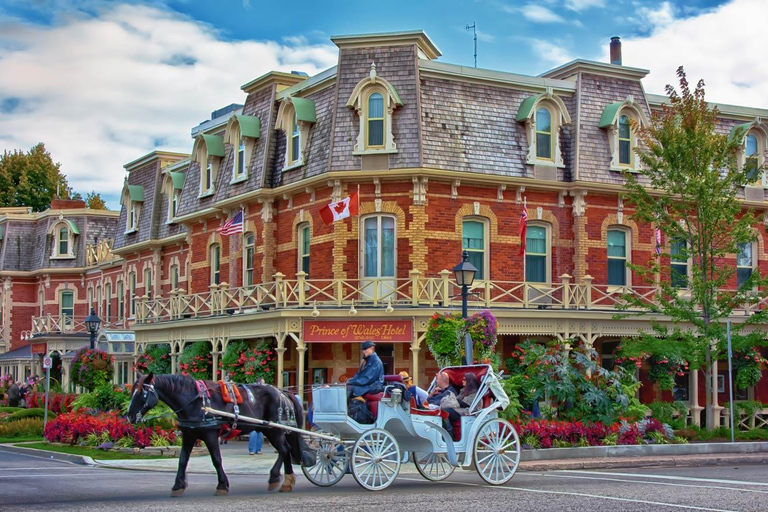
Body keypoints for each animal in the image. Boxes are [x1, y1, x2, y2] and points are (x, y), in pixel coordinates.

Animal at [127, 372, 314, 496]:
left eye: (143, 393)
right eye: (132, 392)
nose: (129, 416)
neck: (195, 402)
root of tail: (283, 392)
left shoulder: (210, 434)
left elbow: (216, 459)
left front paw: (222, 485)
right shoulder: (189, 435)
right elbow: (182, 460)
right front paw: (178, 485)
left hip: (273, 430)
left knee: (284, 450)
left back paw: (274, 477)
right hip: (274, 430)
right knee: (287, 450)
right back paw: (287, 482)